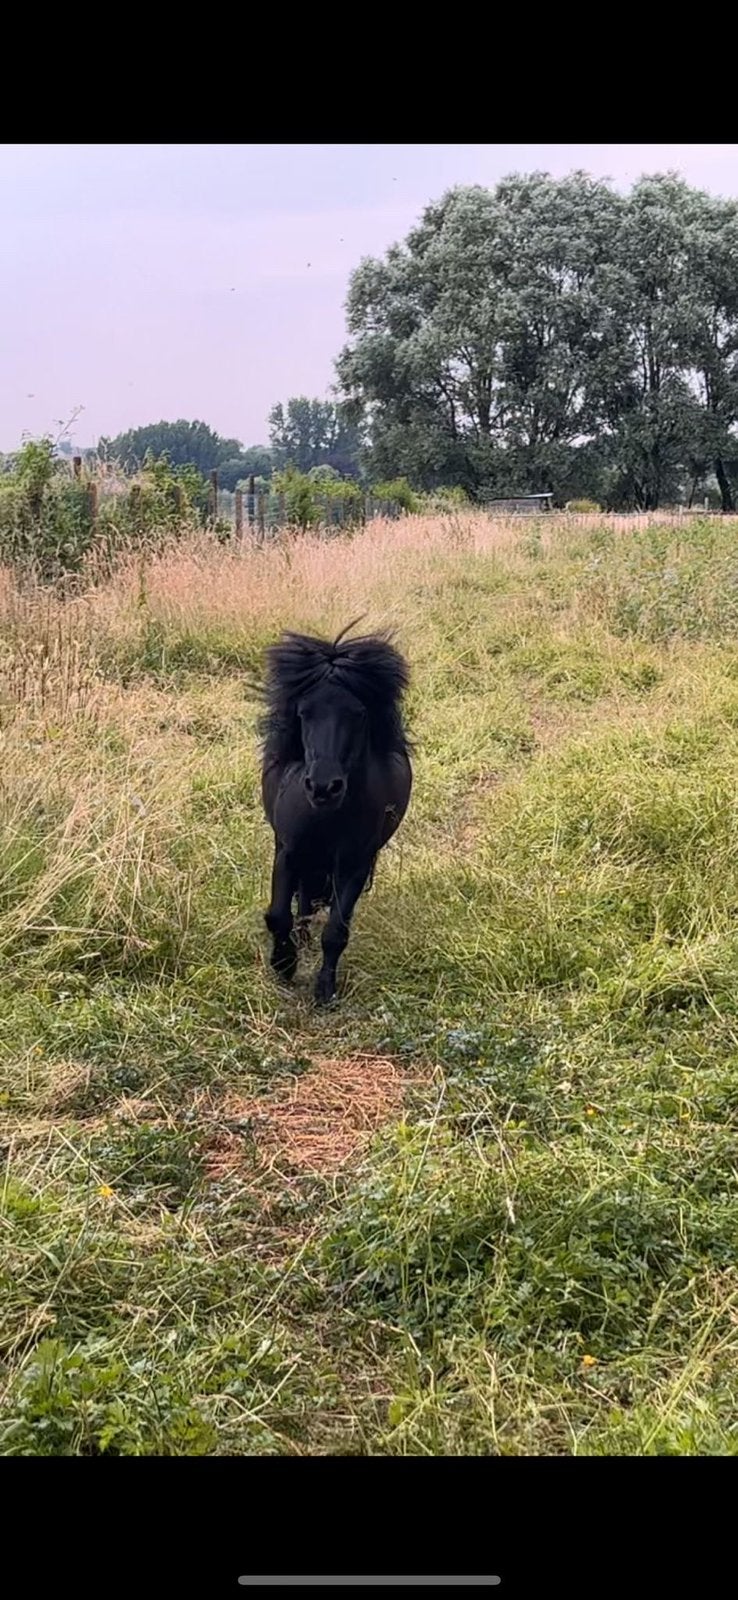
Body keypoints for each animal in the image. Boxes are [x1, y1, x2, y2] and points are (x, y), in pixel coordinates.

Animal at [259, 624, 412, 1004]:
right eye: (304, 713)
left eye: (358, 714)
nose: (324, 787)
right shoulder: (288, 851)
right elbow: (279, 915)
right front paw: (283, 965)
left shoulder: (355, 864)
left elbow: (336, 931)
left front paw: (325, 989)